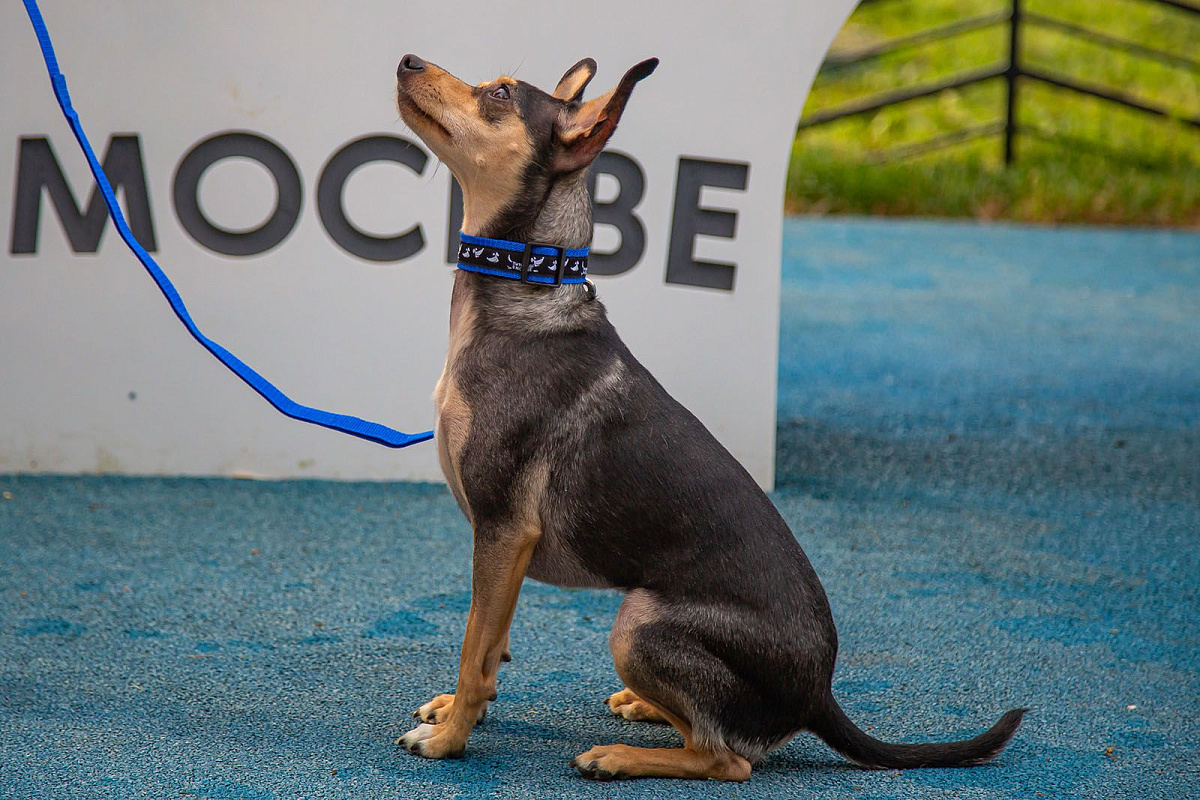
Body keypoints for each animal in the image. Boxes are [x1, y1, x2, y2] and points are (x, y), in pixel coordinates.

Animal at [391, 54, 1022, 782]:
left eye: (497, 94)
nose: (407, 60)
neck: (528, 291)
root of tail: (820, 694)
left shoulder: (501, 530)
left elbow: (474, 651)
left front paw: (449, 740)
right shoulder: (504, 551)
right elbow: (490, 648)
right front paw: (459, 713)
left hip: (637, 621)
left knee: (725, 759)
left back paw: (619, 756)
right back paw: (640, 707)